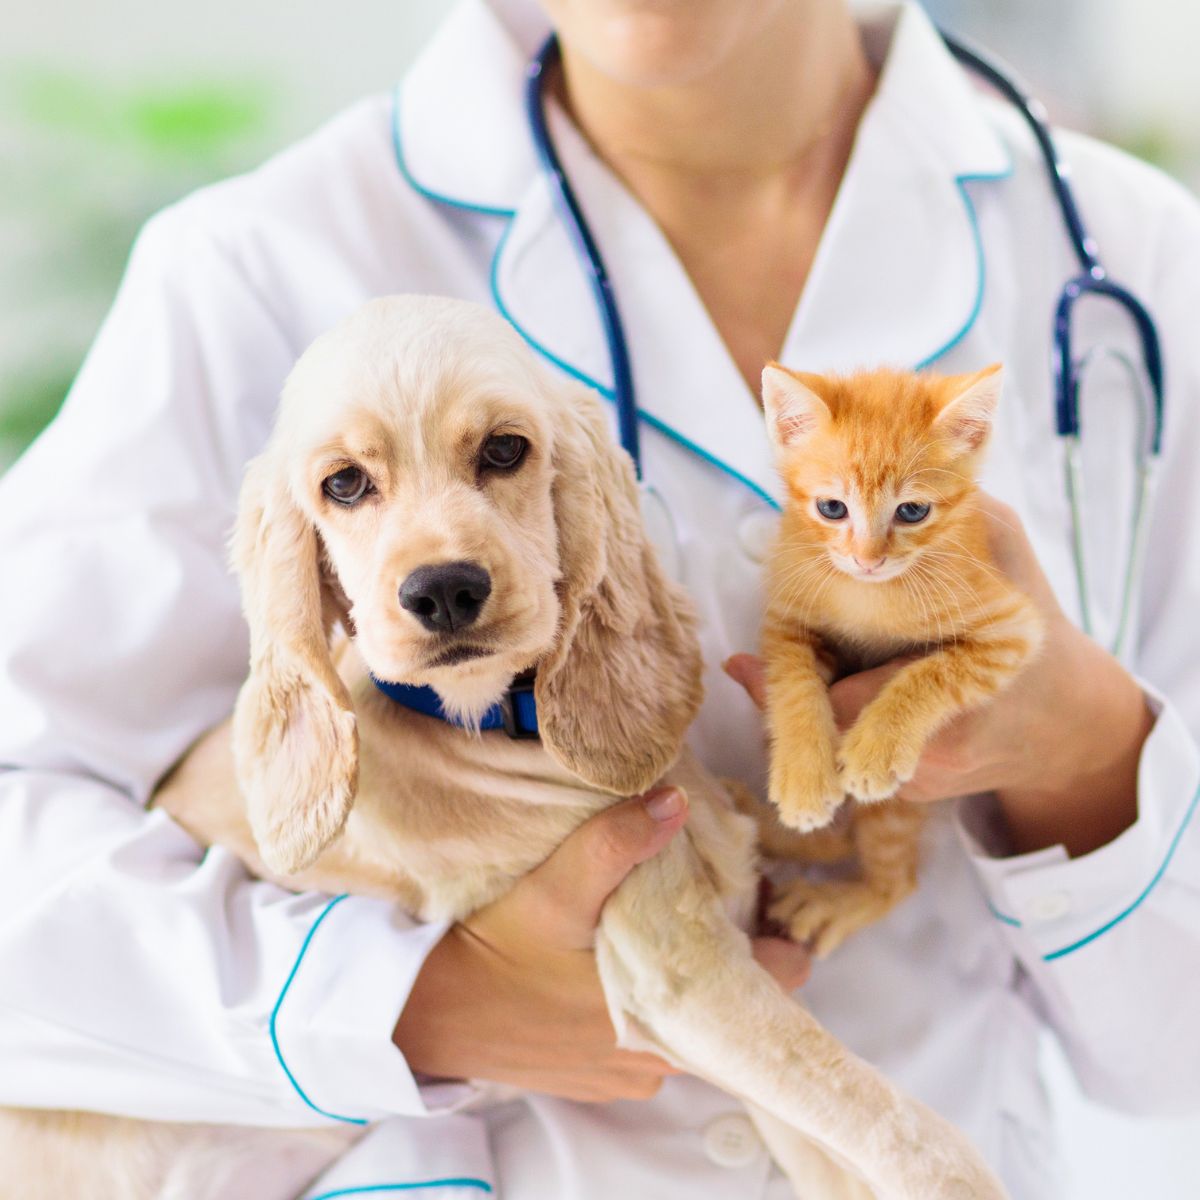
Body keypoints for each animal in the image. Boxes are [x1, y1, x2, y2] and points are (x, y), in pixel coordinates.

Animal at [0, 297, 1008, 1200]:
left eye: (503, 450)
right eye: (344, 484)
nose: (443, 591)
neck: (502, 727)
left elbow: (842, 1135)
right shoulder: (674, 972)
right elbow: (900, 1128)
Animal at [758, 362, 1041, 955]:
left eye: (912, 511)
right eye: (831, 507)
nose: (868, 560)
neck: (870, 596)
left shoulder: (1012, 628)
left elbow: (934, 672)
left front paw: (876, 747)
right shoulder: (785, 617)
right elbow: (792, 684)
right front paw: (804, 776)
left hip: (898, 810)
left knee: (895, 878)